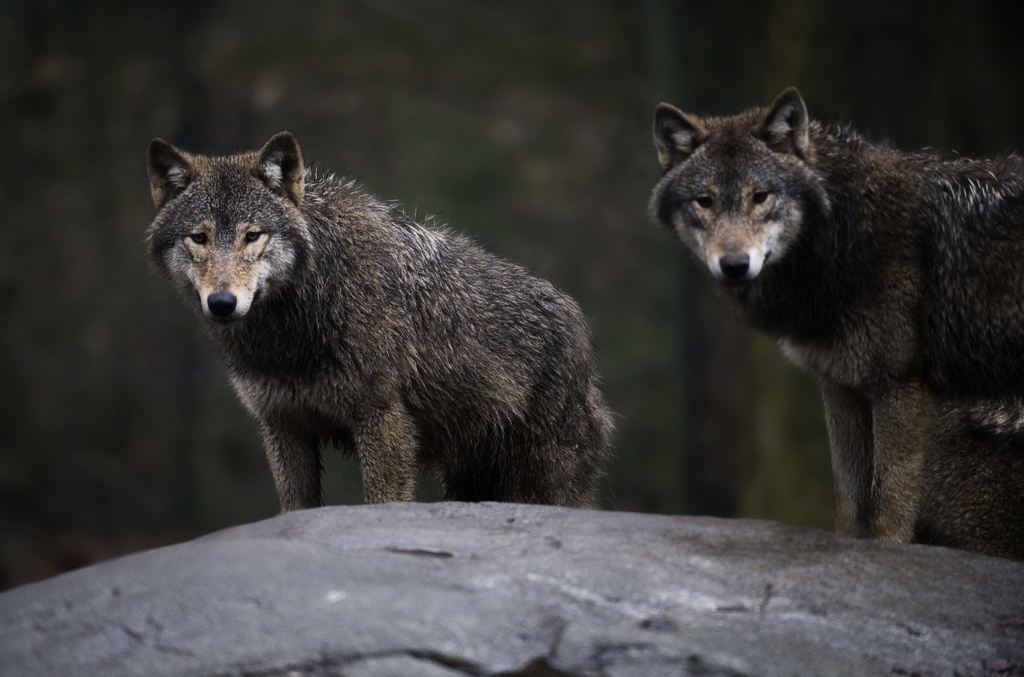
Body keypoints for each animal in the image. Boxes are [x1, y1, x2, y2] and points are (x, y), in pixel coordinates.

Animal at [143, 132, 606, 510]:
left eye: (252, 235)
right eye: (199, 238)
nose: (222, 303)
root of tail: (578, 321)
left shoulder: (382, 419)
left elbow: (383, 502)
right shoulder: (282, 425)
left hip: (543, 478)